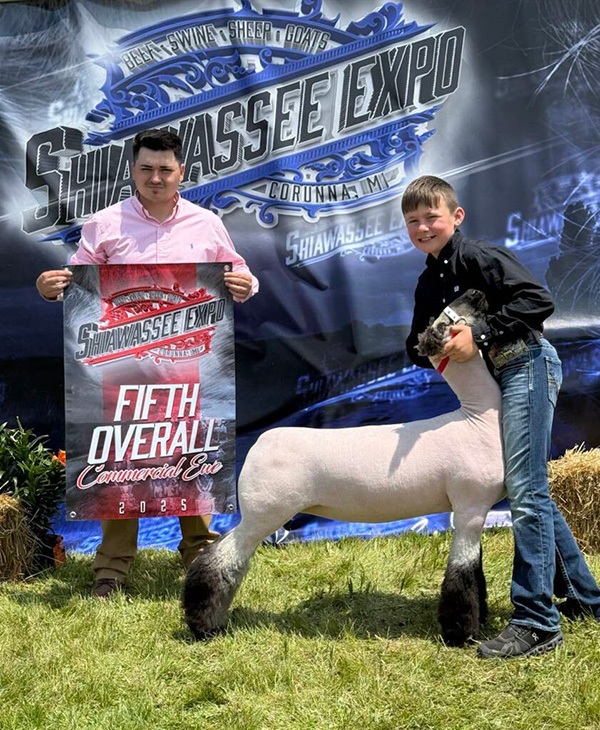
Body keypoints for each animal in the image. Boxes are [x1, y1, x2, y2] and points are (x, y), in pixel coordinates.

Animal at [183, 289, 505, 646]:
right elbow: (462, 574)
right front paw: (463, 635)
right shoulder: (470, 505)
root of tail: (260, 444)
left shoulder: (474, 511)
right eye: (445, 319)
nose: (476, 293)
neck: (475, 417)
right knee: (219, 561)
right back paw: (204, 626)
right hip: (264, 512)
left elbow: (476, 570)